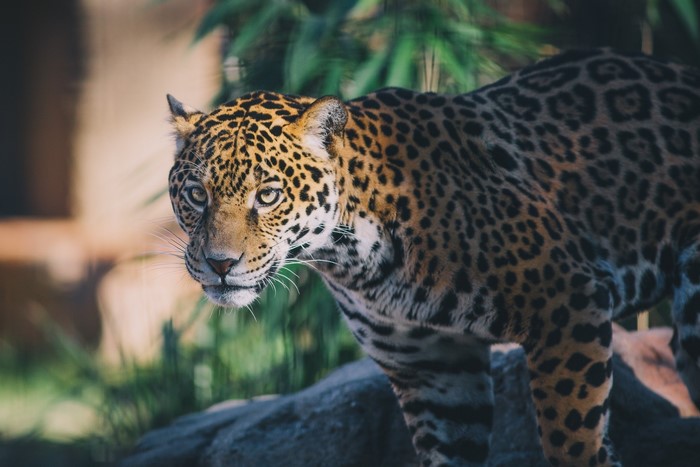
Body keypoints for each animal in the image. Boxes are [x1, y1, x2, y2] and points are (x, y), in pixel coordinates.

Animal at [166, 48, 700, 466]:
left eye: (268, 195)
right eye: (195, 195)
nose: (219, 264)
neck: (355, 258)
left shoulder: (566, 304)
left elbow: (572, 440)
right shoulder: (434, 371)